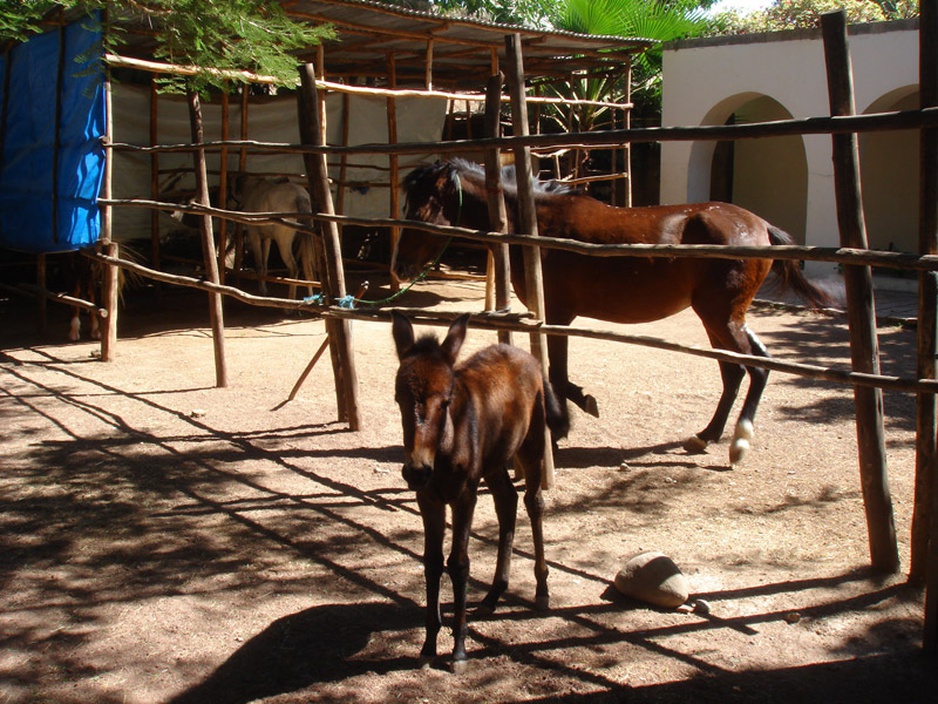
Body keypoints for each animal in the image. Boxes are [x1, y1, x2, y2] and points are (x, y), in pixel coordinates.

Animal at [392, 160, 828, 468]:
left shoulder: (558, 314)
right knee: (739, 371)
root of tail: (761, 226)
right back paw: (705, 436)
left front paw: (564, 425)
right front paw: (578, 409)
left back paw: (737, 443)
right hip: (720, 319)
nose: (399, 268)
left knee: (754, 369)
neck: (533, 224)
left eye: (421, 211)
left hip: (721, 317)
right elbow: (556, 375)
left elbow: (558, 375)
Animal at [392, 312, 568, 672]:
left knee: (533, 503)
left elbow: (459, 563)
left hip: (531, 447)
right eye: (399, 399)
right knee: (507, 501)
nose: (416, 470)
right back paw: (493, 595)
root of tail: (526, 356)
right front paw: (429, 646)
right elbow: (432, 562)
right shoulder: (428, 500)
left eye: (446, 402)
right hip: (494, 461)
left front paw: (459, 650)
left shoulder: (464, 497)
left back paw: (541, 588)